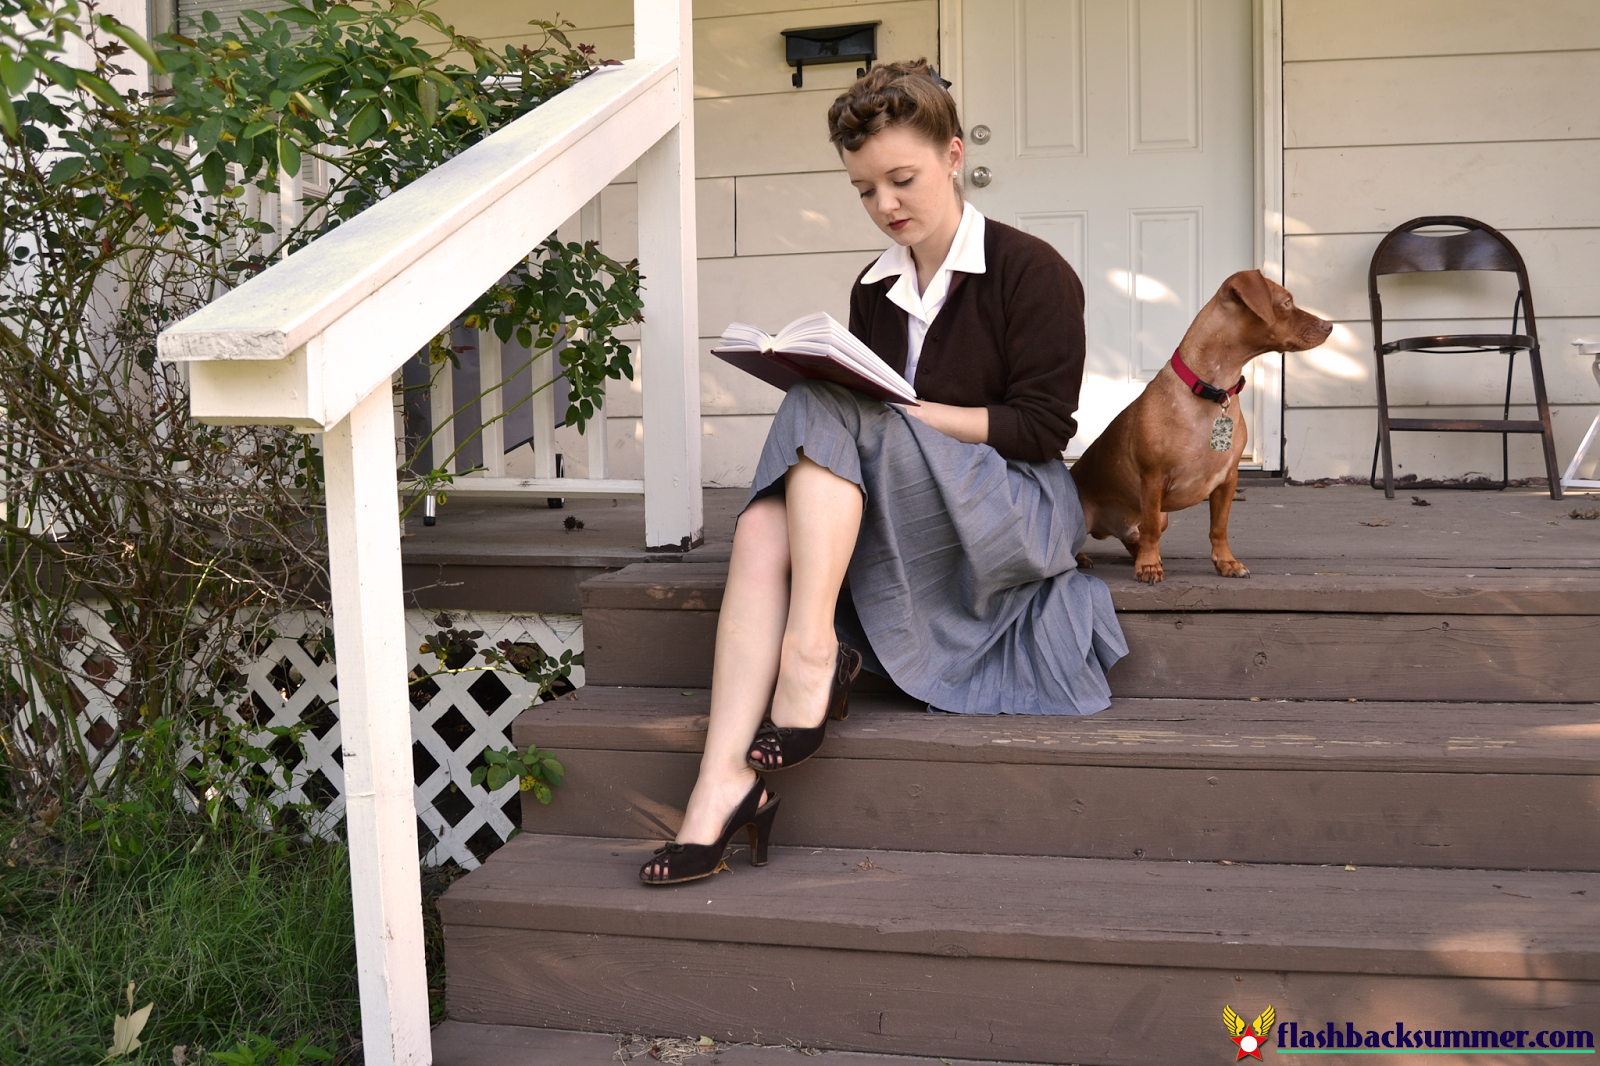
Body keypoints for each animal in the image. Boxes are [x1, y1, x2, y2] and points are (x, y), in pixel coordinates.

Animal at [1075, 267, 1324, 582]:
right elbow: (1152, 531)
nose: (1330, 326)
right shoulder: (1153, 479)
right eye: (1287, 302)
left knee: (1136, 538)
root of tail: (1110, 527)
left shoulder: (1228, 481)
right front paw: (1148, 566)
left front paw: (1225, 562)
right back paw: (1092, 558)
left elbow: (1218, 527)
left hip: (1160, 516)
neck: (1213, 393)